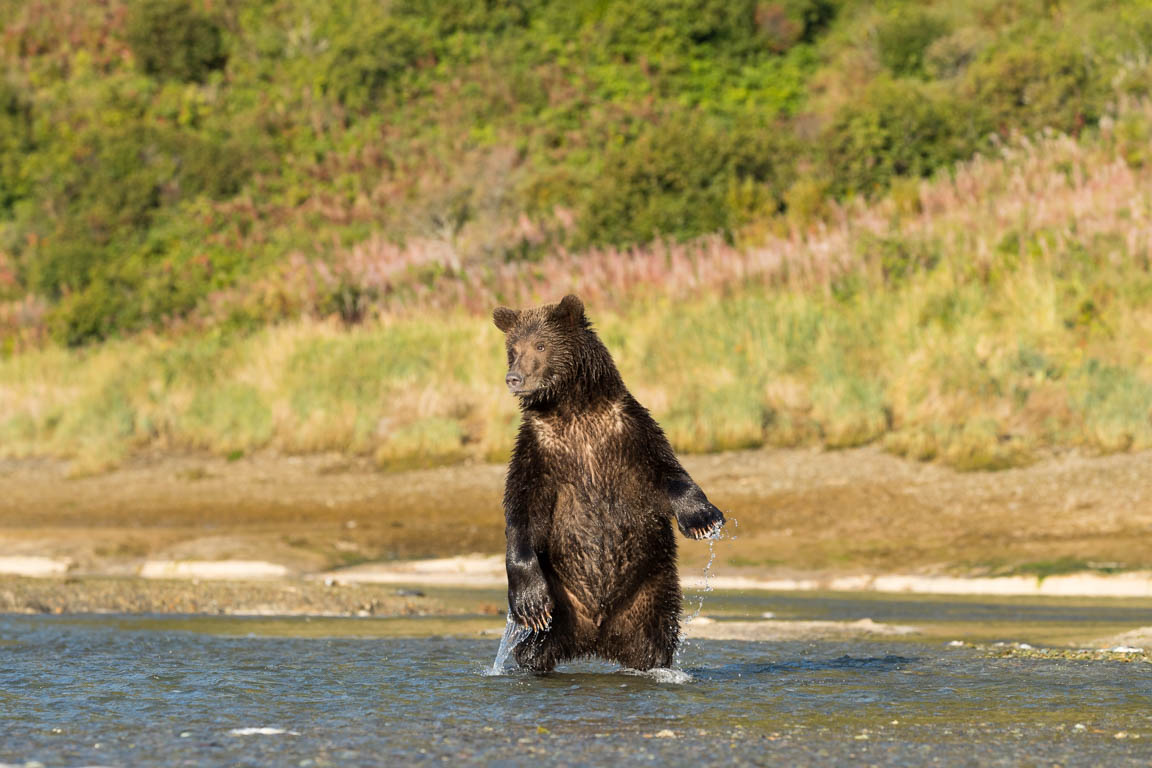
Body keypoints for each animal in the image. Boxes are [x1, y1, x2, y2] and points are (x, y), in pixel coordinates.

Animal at [490, 294, 723, 672]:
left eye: (541, 345)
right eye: (513, 349)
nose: (515, 377)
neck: (572, 409)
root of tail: (596, 633)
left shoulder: (627, 431)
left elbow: (665, 473)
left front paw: (703, 519)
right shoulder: (540, 451)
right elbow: (523, 513)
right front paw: (530, 603)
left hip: (652, 588)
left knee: (657, 638)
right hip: (564, 605)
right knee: (533, 648)